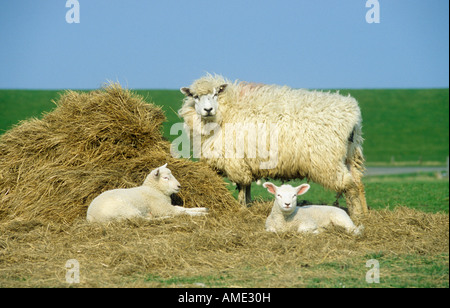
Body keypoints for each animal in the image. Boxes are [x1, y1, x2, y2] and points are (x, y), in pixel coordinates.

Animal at [179, 73, 370, 217]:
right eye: (195, 96)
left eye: (215, 94)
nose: (208, 110)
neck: (227, 110)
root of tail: (352, 114)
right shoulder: (248, 161)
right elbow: (247, 187)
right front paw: (249, 206)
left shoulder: (236, 161)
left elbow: (241, 188)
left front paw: (241, 209)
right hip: (352, 155)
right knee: (359, 183)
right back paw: (365, 213)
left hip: (327, 161)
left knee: (350, 186)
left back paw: (357, 215)